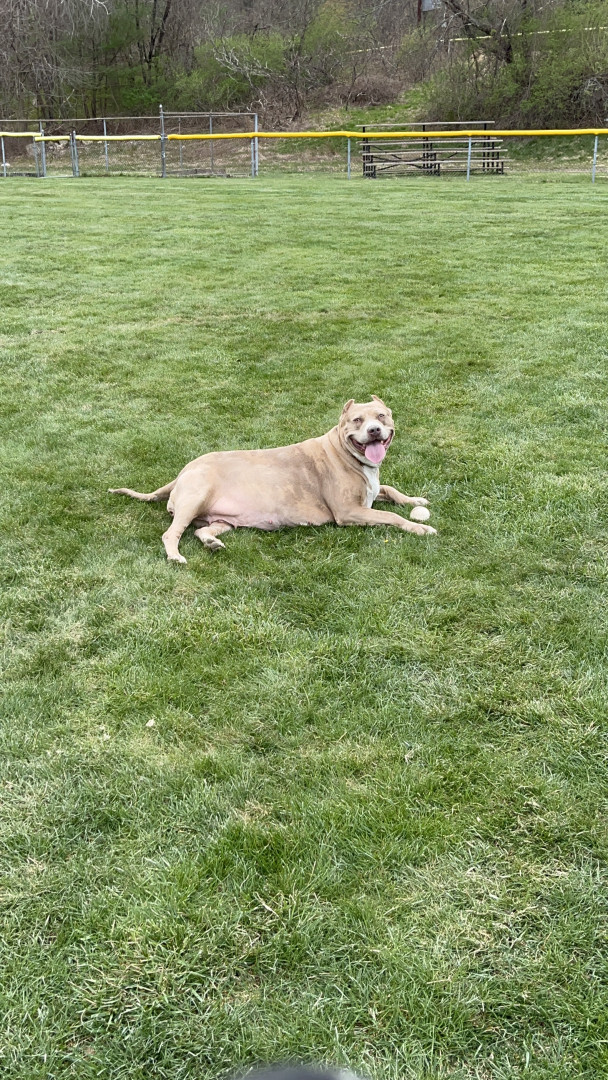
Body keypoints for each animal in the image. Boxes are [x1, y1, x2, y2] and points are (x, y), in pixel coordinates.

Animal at [109, 396, 436, 564]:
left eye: (381, 416)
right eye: (357, 420)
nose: (374, 431)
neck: (348, 455)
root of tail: (181, 472)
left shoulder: (369, 495)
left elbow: (390, 489)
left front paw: (415, 499)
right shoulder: (349, 512)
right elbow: (391, 517)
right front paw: (420, 527)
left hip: (221, 520)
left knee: (202, 531)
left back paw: (212, 543)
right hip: (195, 497)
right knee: (171, 533)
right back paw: (175, 556)